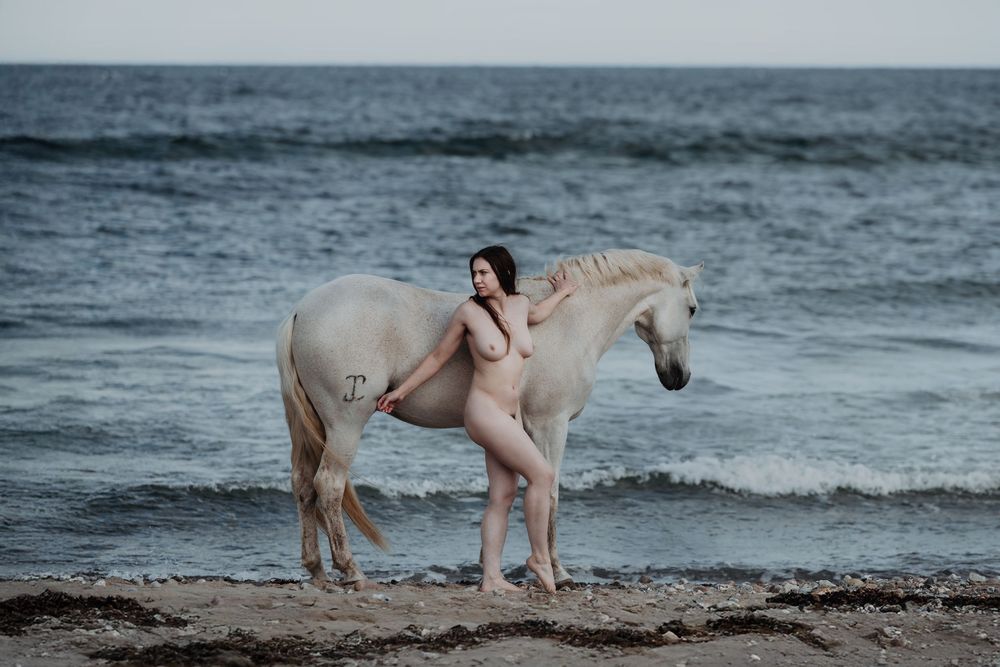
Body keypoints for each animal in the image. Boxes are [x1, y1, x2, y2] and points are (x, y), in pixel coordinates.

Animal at [276, 249, 703, 589]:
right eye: (693, 309)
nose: (679, 377)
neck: (569, 322)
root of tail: (300, 310)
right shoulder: (550, 424)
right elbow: (550, 492)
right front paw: (558, 572)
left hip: (318, 428)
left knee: (303, 486)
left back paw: (317, 571)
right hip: (345, 424)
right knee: (329, 486)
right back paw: (351, 571)